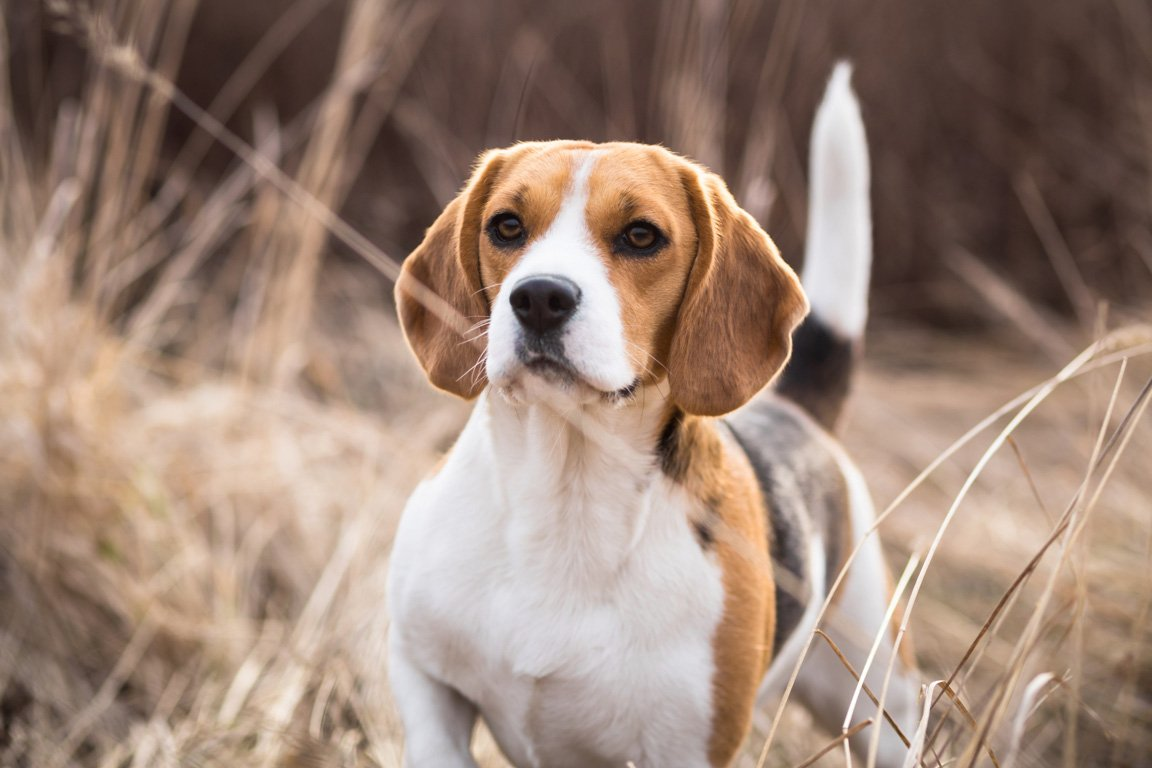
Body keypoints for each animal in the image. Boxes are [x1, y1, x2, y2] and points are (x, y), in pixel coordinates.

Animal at [391, 66, 921, 768]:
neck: (565, 495)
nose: (539, 297)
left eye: (641, 236)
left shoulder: (688, 746)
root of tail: (795, 409)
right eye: (506, 226)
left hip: (883, 705)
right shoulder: (425, 680)